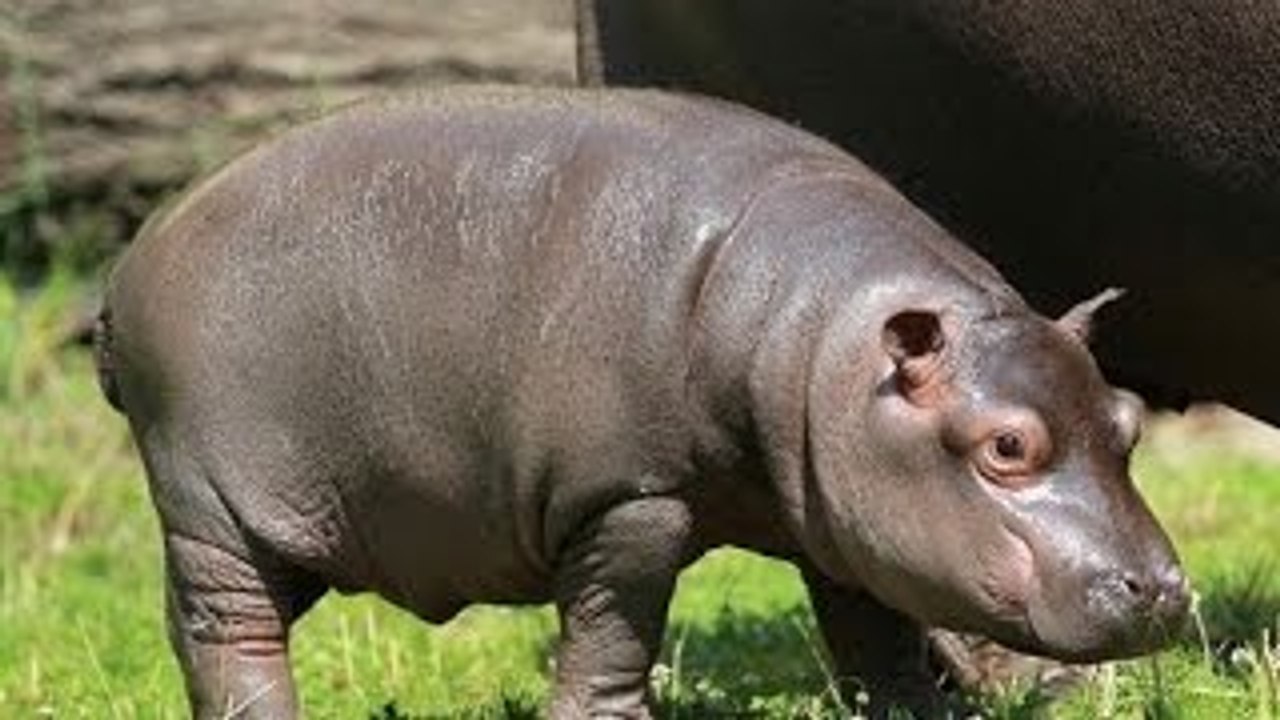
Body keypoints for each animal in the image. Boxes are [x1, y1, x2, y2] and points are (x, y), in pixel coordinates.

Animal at [94, 87, 1188, 719]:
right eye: (1005, 446)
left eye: (1128, 421)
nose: (1166, 590)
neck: (818, 343)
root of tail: (131, 261)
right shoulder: (628, 500)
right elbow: (614, 628)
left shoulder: (843, 510)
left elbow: (869, 625)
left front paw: (917, 715)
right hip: (214, 508)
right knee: (226, 632)